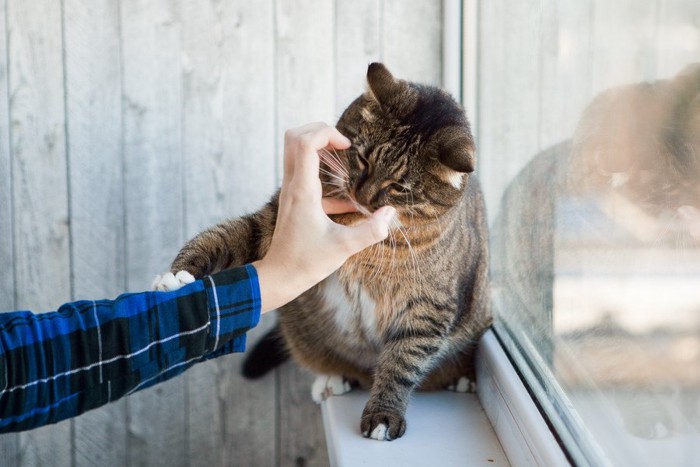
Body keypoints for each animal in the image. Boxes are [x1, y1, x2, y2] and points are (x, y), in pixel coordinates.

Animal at [157, 63, 492, 442]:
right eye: (362, 157)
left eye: (399, 187)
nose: (362, 196)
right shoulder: (277, 221)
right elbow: (226, 237)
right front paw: (180, 275)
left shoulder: (428, 307)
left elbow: (402, 362)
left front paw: (383, 414)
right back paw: (332, 379)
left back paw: (461, 377)